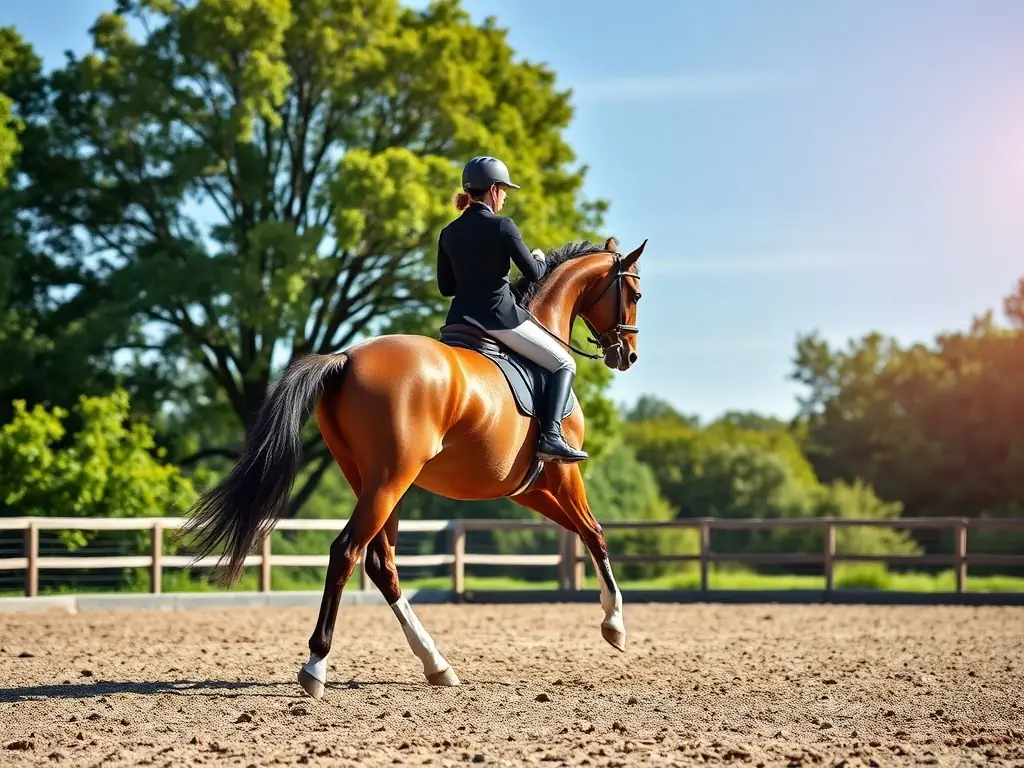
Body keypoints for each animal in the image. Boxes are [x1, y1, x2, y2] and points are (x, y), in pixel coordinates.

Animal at [178, 235, 645, 699]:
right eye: (634, 294)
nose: (627, 356)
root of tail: (347, 357)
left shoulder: (529, 488)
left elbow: (581, 531)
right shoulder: (564, 473)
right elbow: (595, 532)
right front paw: (614, 623)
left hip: (375, 483)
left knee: (381, 564)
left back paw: (436, 663)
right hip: (391, 480)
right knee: (347, 551)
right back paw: (316, 665)